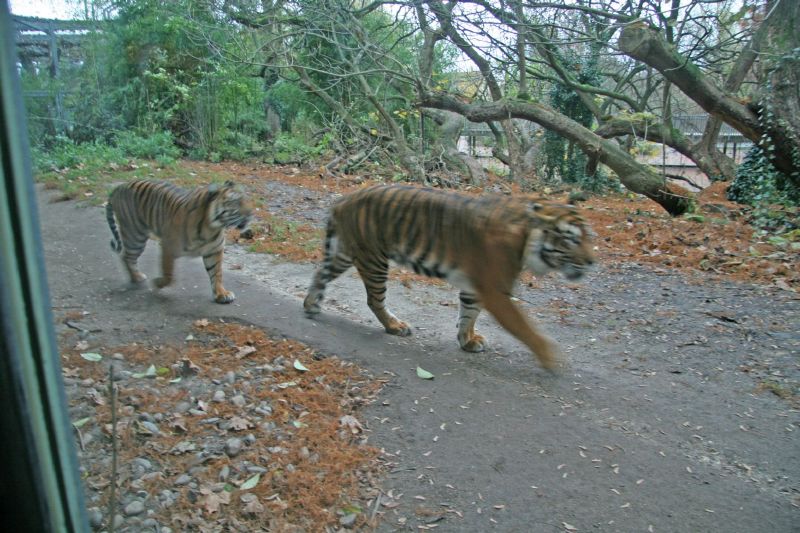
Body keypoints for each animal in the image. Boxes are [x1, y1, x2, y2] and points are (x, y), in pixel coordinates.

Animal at [106, 180, 248, 302]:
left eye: (245, 200)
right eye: (235, 202)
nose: (250, 213)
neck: (212, 226)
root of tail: (120, 186)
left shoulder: (214, 250)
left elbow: (216, 273)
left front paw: (221, 294)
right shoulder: (168, 246)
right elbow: (168, 273)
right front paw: (157, 282)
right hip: (135, 236)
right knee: (126, 256)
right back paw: (136, 277)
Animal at [304, 185, 592, 368]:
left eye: (588, 237)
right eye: (571, 239)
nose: (591, 261)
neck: (526, 238)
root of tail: (343, 200)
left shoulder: (476, 287)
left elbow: (468, 314)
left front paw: (468, 341)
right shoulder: (496, 291)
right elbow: (526, 328)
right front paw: (551, 358)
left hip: (346, 253)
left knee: (320, 273)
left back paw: (311, 306)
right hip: (373, 260)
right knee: (374, 300)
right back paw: (395, 326)